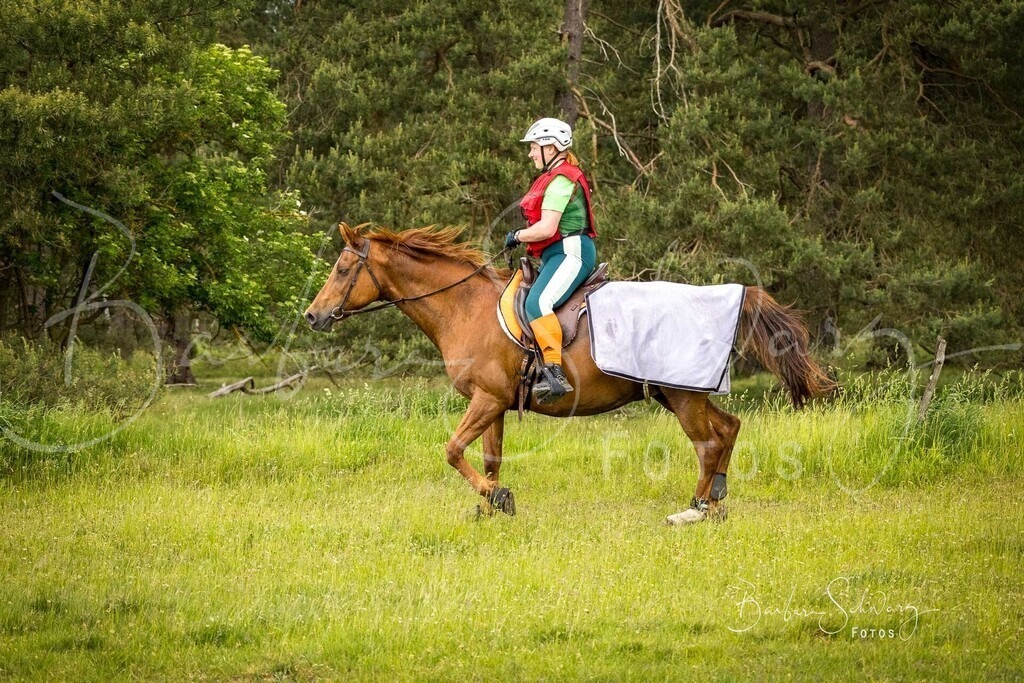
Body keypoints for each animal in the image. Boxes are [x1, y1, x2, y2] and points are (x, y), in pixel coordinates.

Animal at [304, 223, 836, 523]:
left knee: (707, 443)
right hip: (680, 393)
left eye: (341, 269)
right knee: (728, 429)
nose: (312, 316)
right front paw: (490, 506)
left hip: (682, 396)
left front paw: (496, 499)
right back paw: (717, 503)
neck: (464, 307)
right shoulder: (494, 403)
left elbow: (453, 451)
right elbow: (490, 458)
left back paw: (694, 510)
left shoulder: (486, 400)